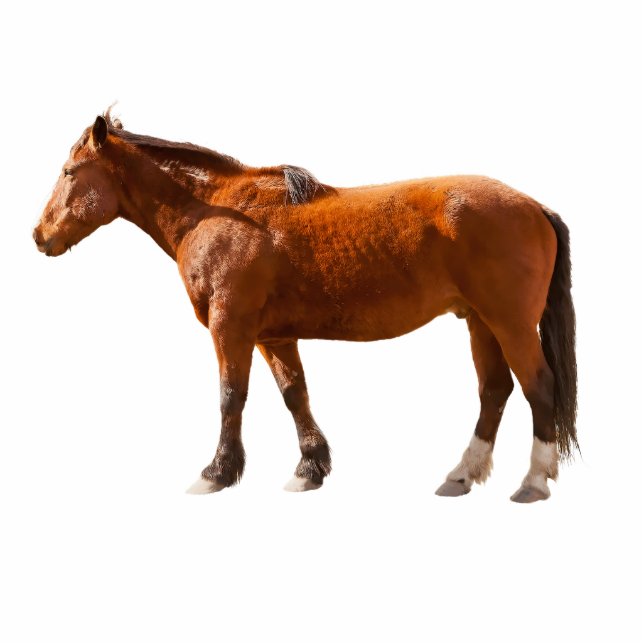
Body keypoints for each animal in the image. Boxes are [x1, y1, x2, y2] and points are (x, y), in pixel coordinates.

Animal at [33, 110, 578, 502]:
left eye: (69, 171)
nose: (39, 235)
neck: (216, 211)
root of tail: (534, 207)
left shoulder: (230, 328)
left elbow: (231, 397)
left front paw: (216, 473)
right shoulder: (273, 335)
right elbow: (295, 395)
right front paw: (310, 469)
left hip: (509, 323)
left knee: (538, 387)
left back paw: (533, 481)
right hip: (480, 322)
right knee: (495, 391)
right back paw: (461, 475)